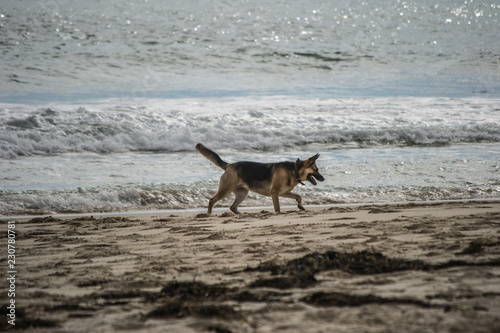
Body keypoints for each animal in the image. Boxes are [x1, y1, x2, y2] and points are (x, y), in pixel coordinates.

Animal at [195, 143, 324, 213]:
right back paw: (209, 214)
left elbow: (298, 196)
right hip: (225, 190)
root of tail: (229, 165)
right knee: (212, 200)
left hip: (242, 193)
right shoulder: (275, 193)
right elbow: (278, 208)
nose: (323, 179)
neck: (294, 170)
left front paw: (300, 205)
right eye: (316, 170)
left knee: (232, 207)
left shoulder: (282, 193)